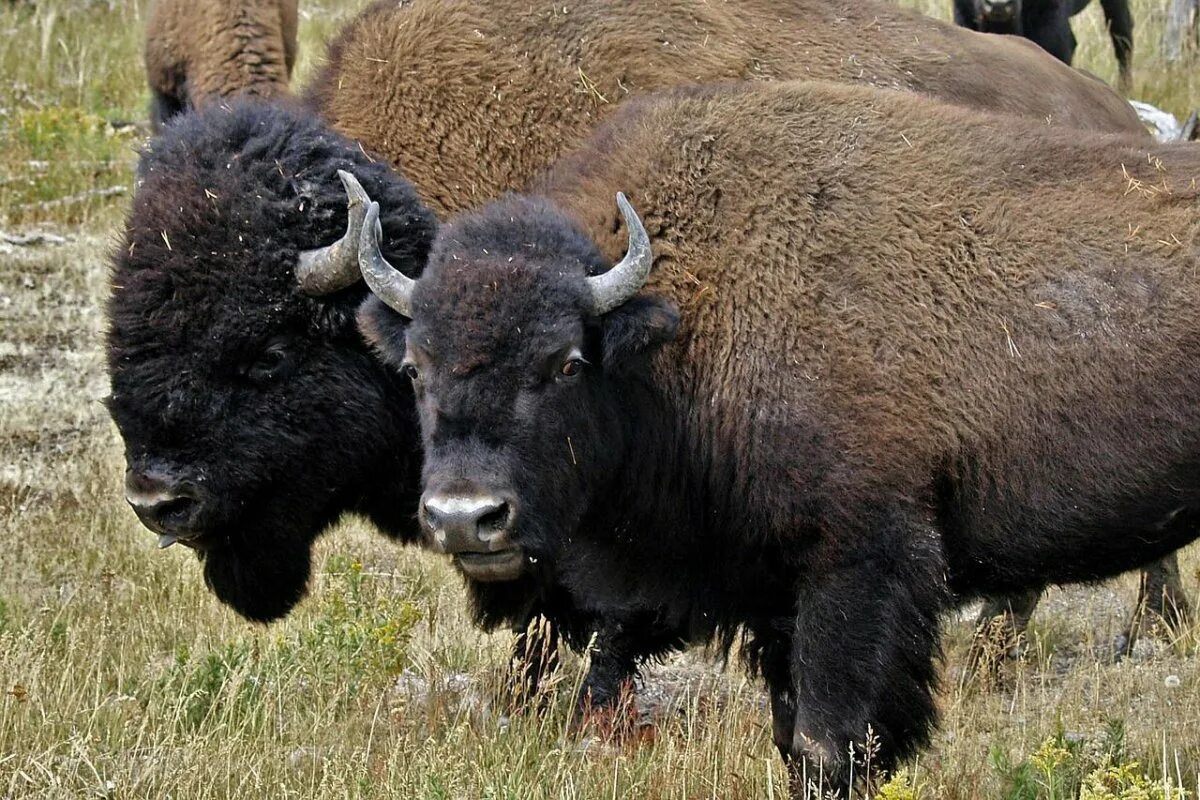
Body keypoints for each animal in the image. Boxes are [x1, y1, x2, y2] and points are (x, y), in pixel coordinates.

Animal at [350, 76, 1200, 796]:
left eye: (565, 362)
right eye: (416, 367)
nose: (467, 518)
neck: (678, 326)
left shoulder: (859, 565)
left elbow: (828, 745)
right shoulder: (773, 596)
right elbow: (793, 736)